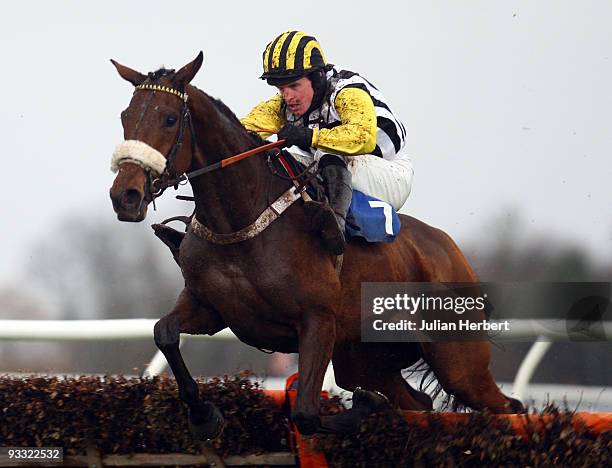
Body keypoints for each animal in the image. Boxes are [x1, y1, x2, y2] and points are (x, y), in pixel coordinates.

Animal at [109, 53, 520, 436]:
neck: (242, 221)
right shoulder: (211, 309)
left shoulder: (318, 321)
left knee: (506, 406)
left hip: (458, 360)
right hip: (363, 359)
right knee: (418, 401)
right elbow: (164, 333)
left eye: (169, 119)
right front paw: (203, 414)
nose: (125, 196)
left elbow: (306, 415)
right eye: (125, 117)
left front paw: (363, 408)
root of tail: (450, 249)